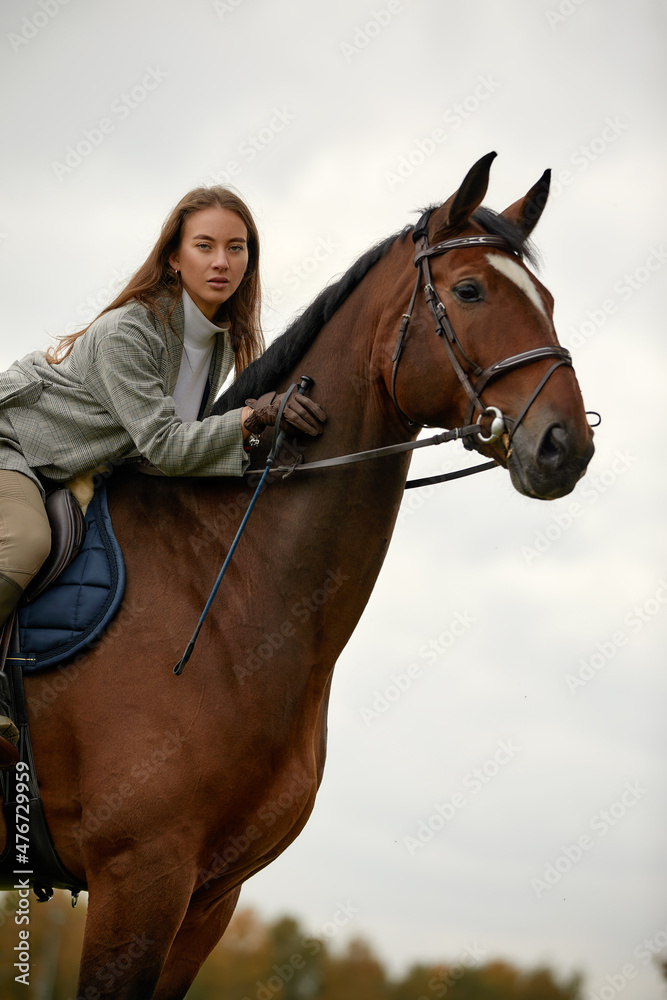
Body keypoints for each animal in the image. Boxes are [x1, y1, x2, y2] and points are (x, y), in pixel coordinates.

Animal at [2, 152, 594, 998]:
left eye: (544, 299)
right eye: (469, 291)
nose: (564, 445)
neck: (224, 592)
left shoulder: (208, 896)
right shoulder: (139, 875)